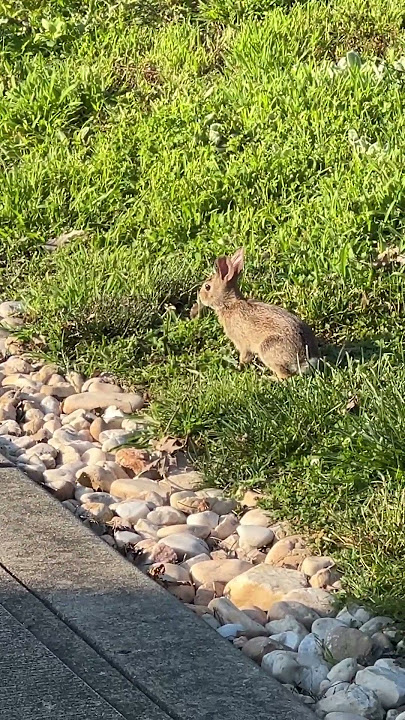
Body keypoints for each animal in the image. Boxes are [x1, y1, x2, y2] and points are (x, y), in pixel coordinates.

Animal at [196, 247, 319, 380]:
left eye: (207, 287)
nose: (200, 297)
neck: (229, 304)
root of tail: (304, 358)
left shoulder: (242, 343)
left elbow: (244, 356)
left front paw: (238, 367)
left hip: (267, 349)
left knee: (284, 376)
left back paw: (268, 378)